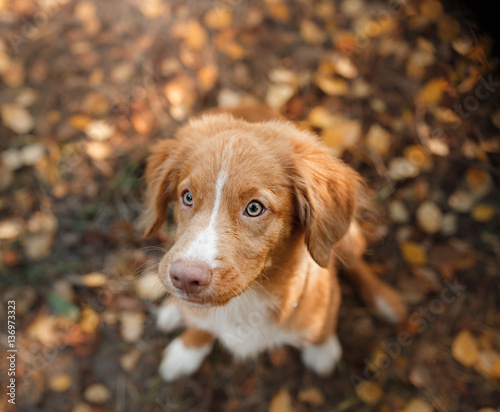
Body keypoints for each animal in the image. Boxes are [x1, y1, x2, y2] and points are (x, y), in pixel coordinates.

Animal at [143, 104, 408, 382]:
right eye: (187, 197)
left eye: (254, 208)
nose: (184, 278)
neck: (248, 299)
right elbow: (201, 323)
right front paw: (188, 349)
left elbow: (323, 321)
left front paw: (322, 349)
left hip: (351, 237)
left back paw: (384, 300)